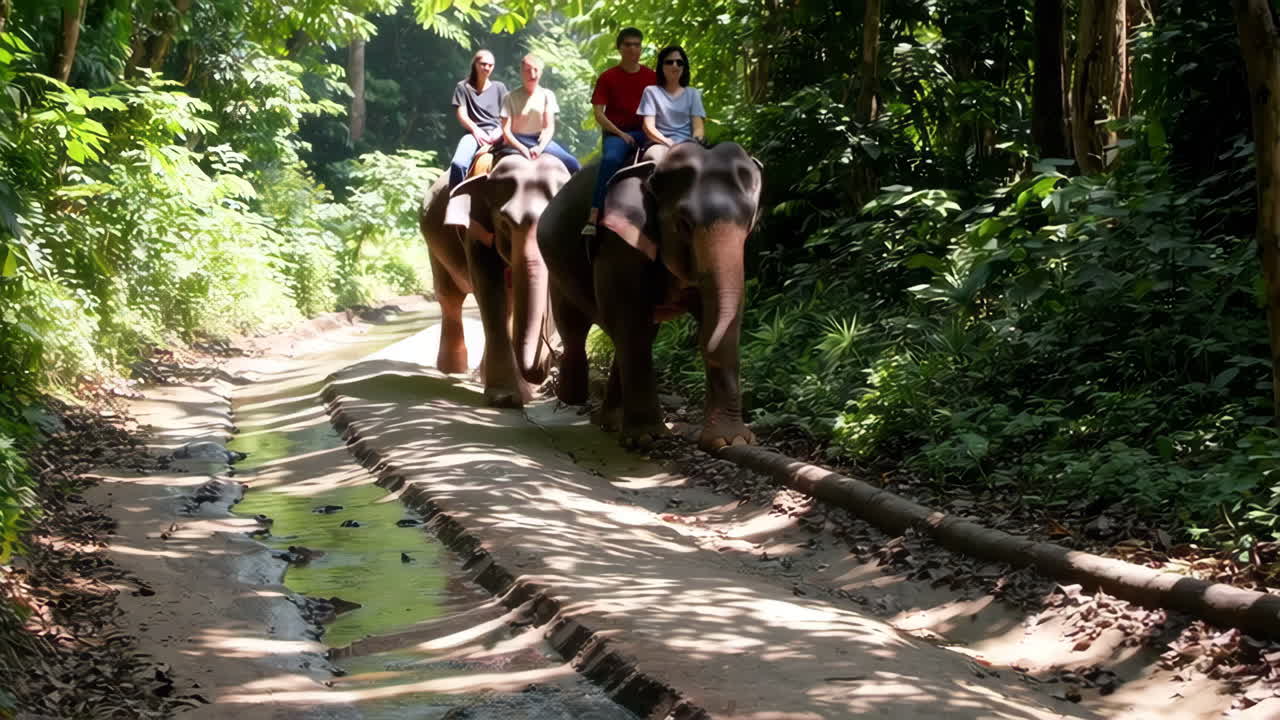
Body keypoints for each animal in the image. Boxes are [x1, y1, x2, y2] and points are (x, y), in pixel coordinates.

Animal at [419, 153, 572, 407]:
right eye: (504, 223)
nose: (553, 357)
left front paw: (522, 392)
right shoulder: (475, 229)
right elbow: (489, 287)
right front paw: (505, 398)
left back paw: (478, 376)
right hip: (434, 245)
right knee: (450, 297)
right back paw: (452, 369)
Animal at [537, 141, 763, 450]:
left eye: (749, 222)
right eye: (684, 223)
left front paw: (730, 441)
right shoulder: (618, 242)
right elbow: (630, 321)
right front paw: (648, 438)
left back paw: (610, 422)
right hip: (557, 268)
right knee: (576, 326)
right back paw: (572, 396)